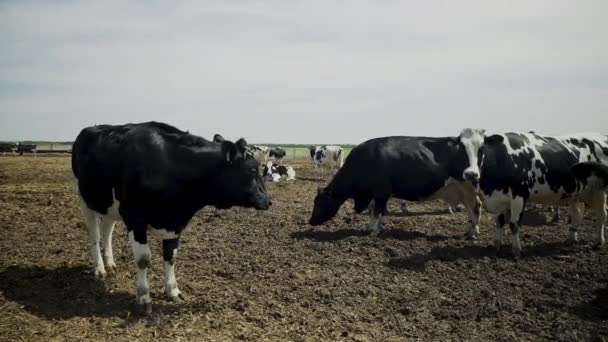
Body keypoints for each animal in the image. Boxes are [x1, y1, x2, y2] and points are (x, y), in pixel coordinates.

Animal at [72, 121, 270, 314]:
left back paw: (110, 263)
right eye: (252, 170)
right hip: (85, 200)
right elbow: (143, 260)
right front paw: (143, 299)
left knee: (107, 231)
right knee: (95, 236)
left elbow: (171, 256)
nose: (268, 200)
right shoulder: (135, 218)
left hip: (108, 205)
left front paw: (173, 291)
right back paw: (99, 268)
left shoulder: (175, 222)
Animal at [312, 135, 482, 239]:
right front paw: (371, 228)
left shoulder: (381, 193)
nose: (310, 221)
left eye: (318, 202)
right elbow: (373, 212)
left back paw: (474, 233)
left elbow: (377, 212)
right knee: (470, 209)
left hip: (468, 187)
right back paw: (470, 231)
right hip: (462, 190)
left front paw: (374, 232)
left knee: (476, 207)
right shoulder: (374, 195)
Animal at [458, 130, 608, 258]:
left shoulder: (519, 196)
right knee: (577, 214)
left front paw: (516, 250)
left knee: (601, 215)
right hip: (575, 194)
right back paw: (571, 239)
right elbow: (499, 222)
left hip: (599, 191)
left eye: (482, 148)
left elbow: (514, 224)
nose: (471, 174)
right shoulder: (499, 198)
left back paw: (598, 242)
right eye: (461, 148)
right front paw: (497, 247)